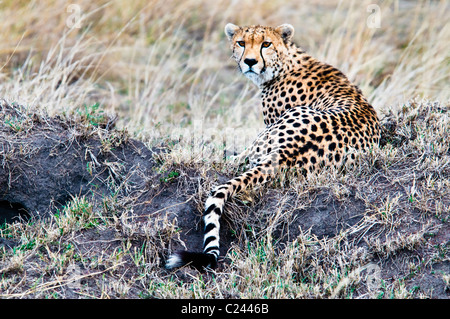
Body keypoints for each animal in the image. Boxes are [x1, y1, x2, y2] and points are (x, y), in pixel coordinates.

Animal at [165, 23, 380, 272]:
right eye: (241, 43)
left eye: (266, 44)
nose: (249, 61)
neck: (284, 64)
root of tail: (285, 152)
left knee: (236, 162)